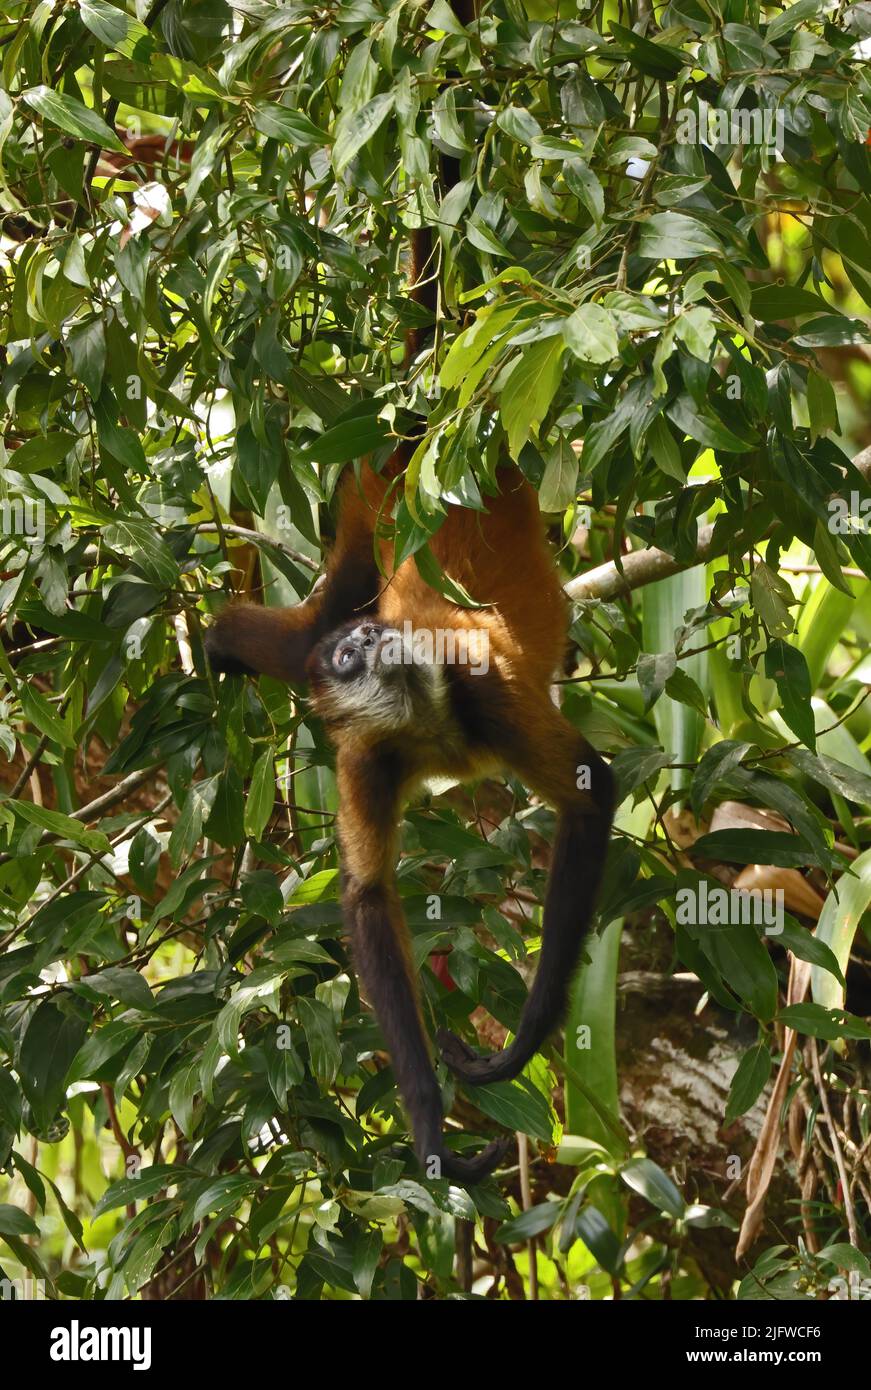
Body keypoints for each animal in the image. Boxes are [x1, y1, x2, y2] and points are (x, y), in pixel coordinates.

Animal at [205, 455, 615, 1184]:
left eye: (369, 642)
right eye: (351, 658)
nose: (372, 636)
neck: (425, 721)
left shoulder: (484, 687)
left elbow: (591, 797)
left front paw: (525, 1039)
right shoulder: (368, 757)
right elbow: (367, 897)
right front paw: (427, 1119)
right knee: (308, 631)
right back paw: (220, 641)